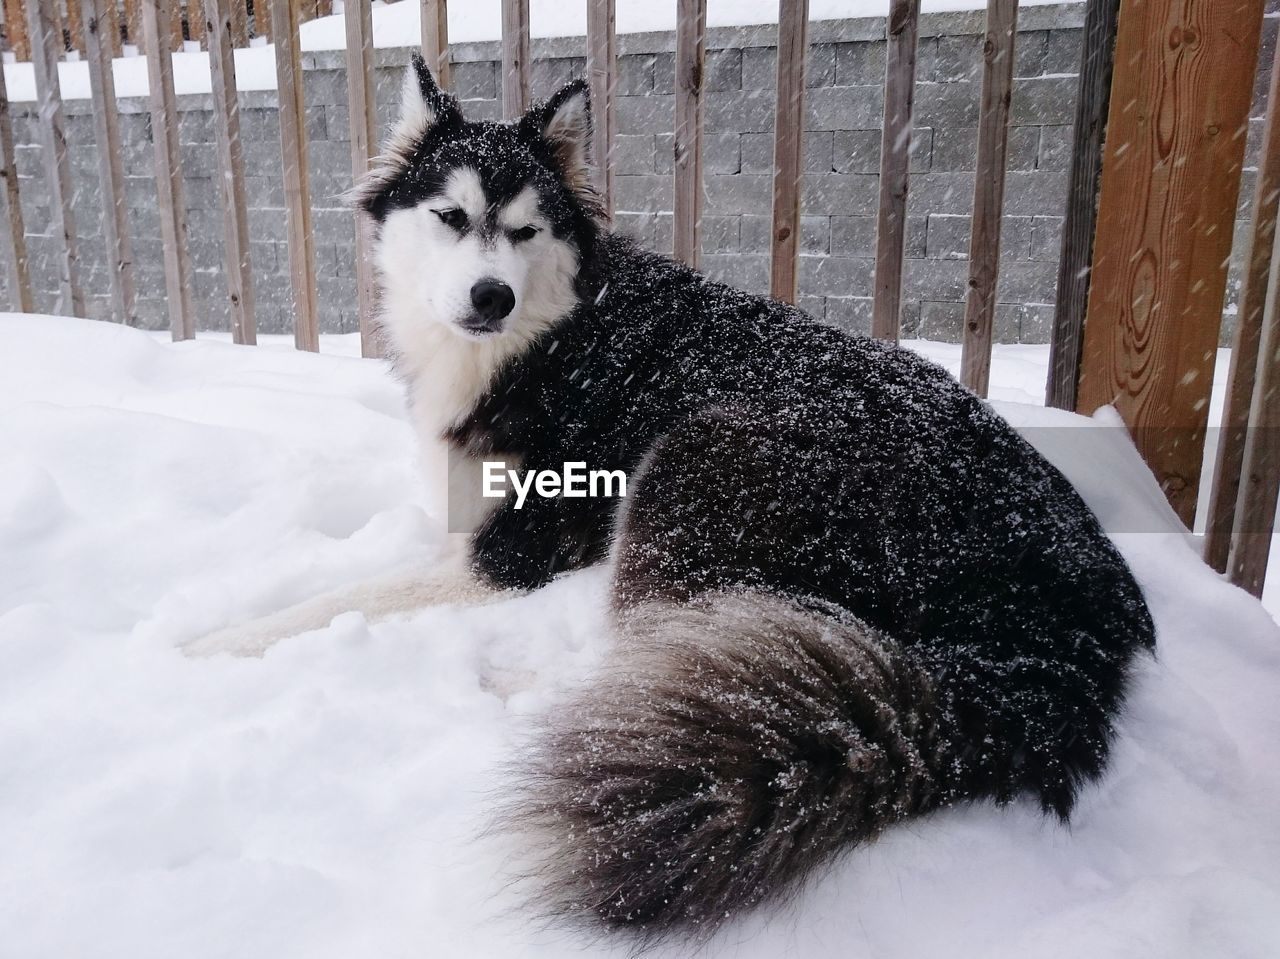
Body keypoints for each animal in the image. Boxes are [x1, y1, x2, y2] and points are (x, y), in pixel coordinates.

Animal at [197, 59, 1152, 942]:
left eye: (526, 228)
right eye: (451, 217)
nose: (491, 295)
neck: (557, 335)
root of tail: (1066, 609)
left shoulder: (522, 545)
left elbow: (335, 602)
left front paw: (210, 643)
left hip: (697, 458)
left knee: (656, 645)